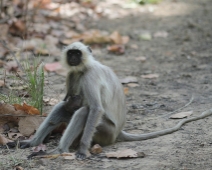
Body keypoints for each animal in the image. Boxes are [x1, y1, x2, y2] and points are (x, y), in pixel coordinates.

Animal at [6, 41, 212, 159]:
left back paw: (60, 150)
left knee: (84, 112)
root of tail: (119, 131)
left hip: (106, 132)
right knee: (63, 108)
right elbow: (69, 103)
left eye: (77, 53)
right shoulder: (72, 75)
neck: (83, 69)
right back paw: (32, 143)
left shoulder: (89, 77)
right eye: (71, 53)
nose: (73, 58)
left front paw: (82, 151)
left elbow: (96, 109)